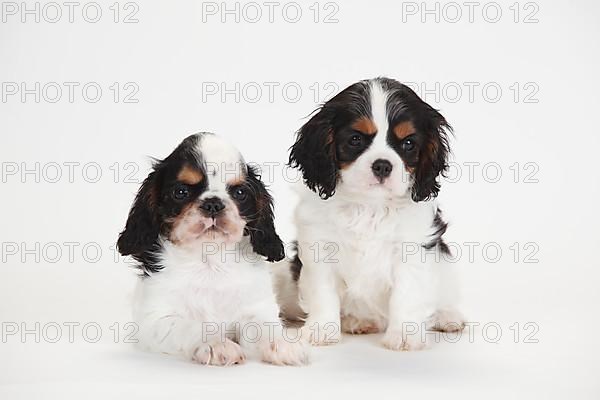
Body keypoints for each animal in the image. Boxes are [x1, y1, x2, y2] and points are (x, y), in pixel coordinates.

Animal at [116, 134, 308, 366]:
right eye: (180, 192)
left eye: (240, 193)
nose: (214, 204)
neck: (210, 259)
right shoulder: (155, 320)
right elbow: (190, 326)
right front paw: (216, 344)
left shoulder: (257, 308)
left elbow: (265, 325)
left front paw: (283, 343)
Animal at [284, 77, 464, 350]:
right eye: (355, 140)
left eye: (408, 144)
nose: (382, 165)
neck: (370, 206)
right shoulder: (319, 247)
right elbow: (322, 292)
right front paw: (322, 329)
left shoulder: (412, 250)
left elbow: (406, 294)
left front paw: (403, 334)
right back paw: (357, 320)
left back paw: (448, 316)